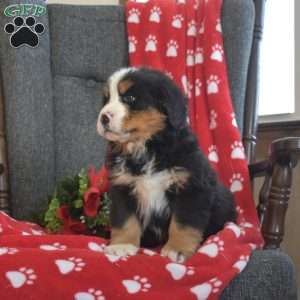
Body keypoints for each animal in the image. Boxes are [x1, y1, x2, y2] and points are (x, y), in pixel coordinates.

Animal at [97, 67, 236, 262]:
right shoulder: (122, 188)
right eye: (106, 99)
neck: (146, 148)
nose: (103, 117)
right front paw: (122, 245)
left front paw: (177, 249)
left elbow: (183, 223)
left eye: (130, 98)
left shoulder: (191, 188)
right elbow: (125, 219)